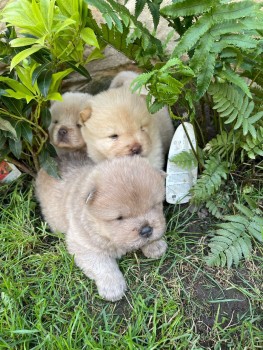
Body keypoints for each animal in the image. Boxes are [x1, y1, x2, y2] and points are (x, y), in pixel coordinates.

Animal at [35, 156, 168, 300]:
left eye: (154, 206)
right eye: (119, 218)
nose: (147, 230)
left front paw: (155, 246)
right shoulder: (83, 244)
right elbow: (102, 265)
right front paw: (113, 288)